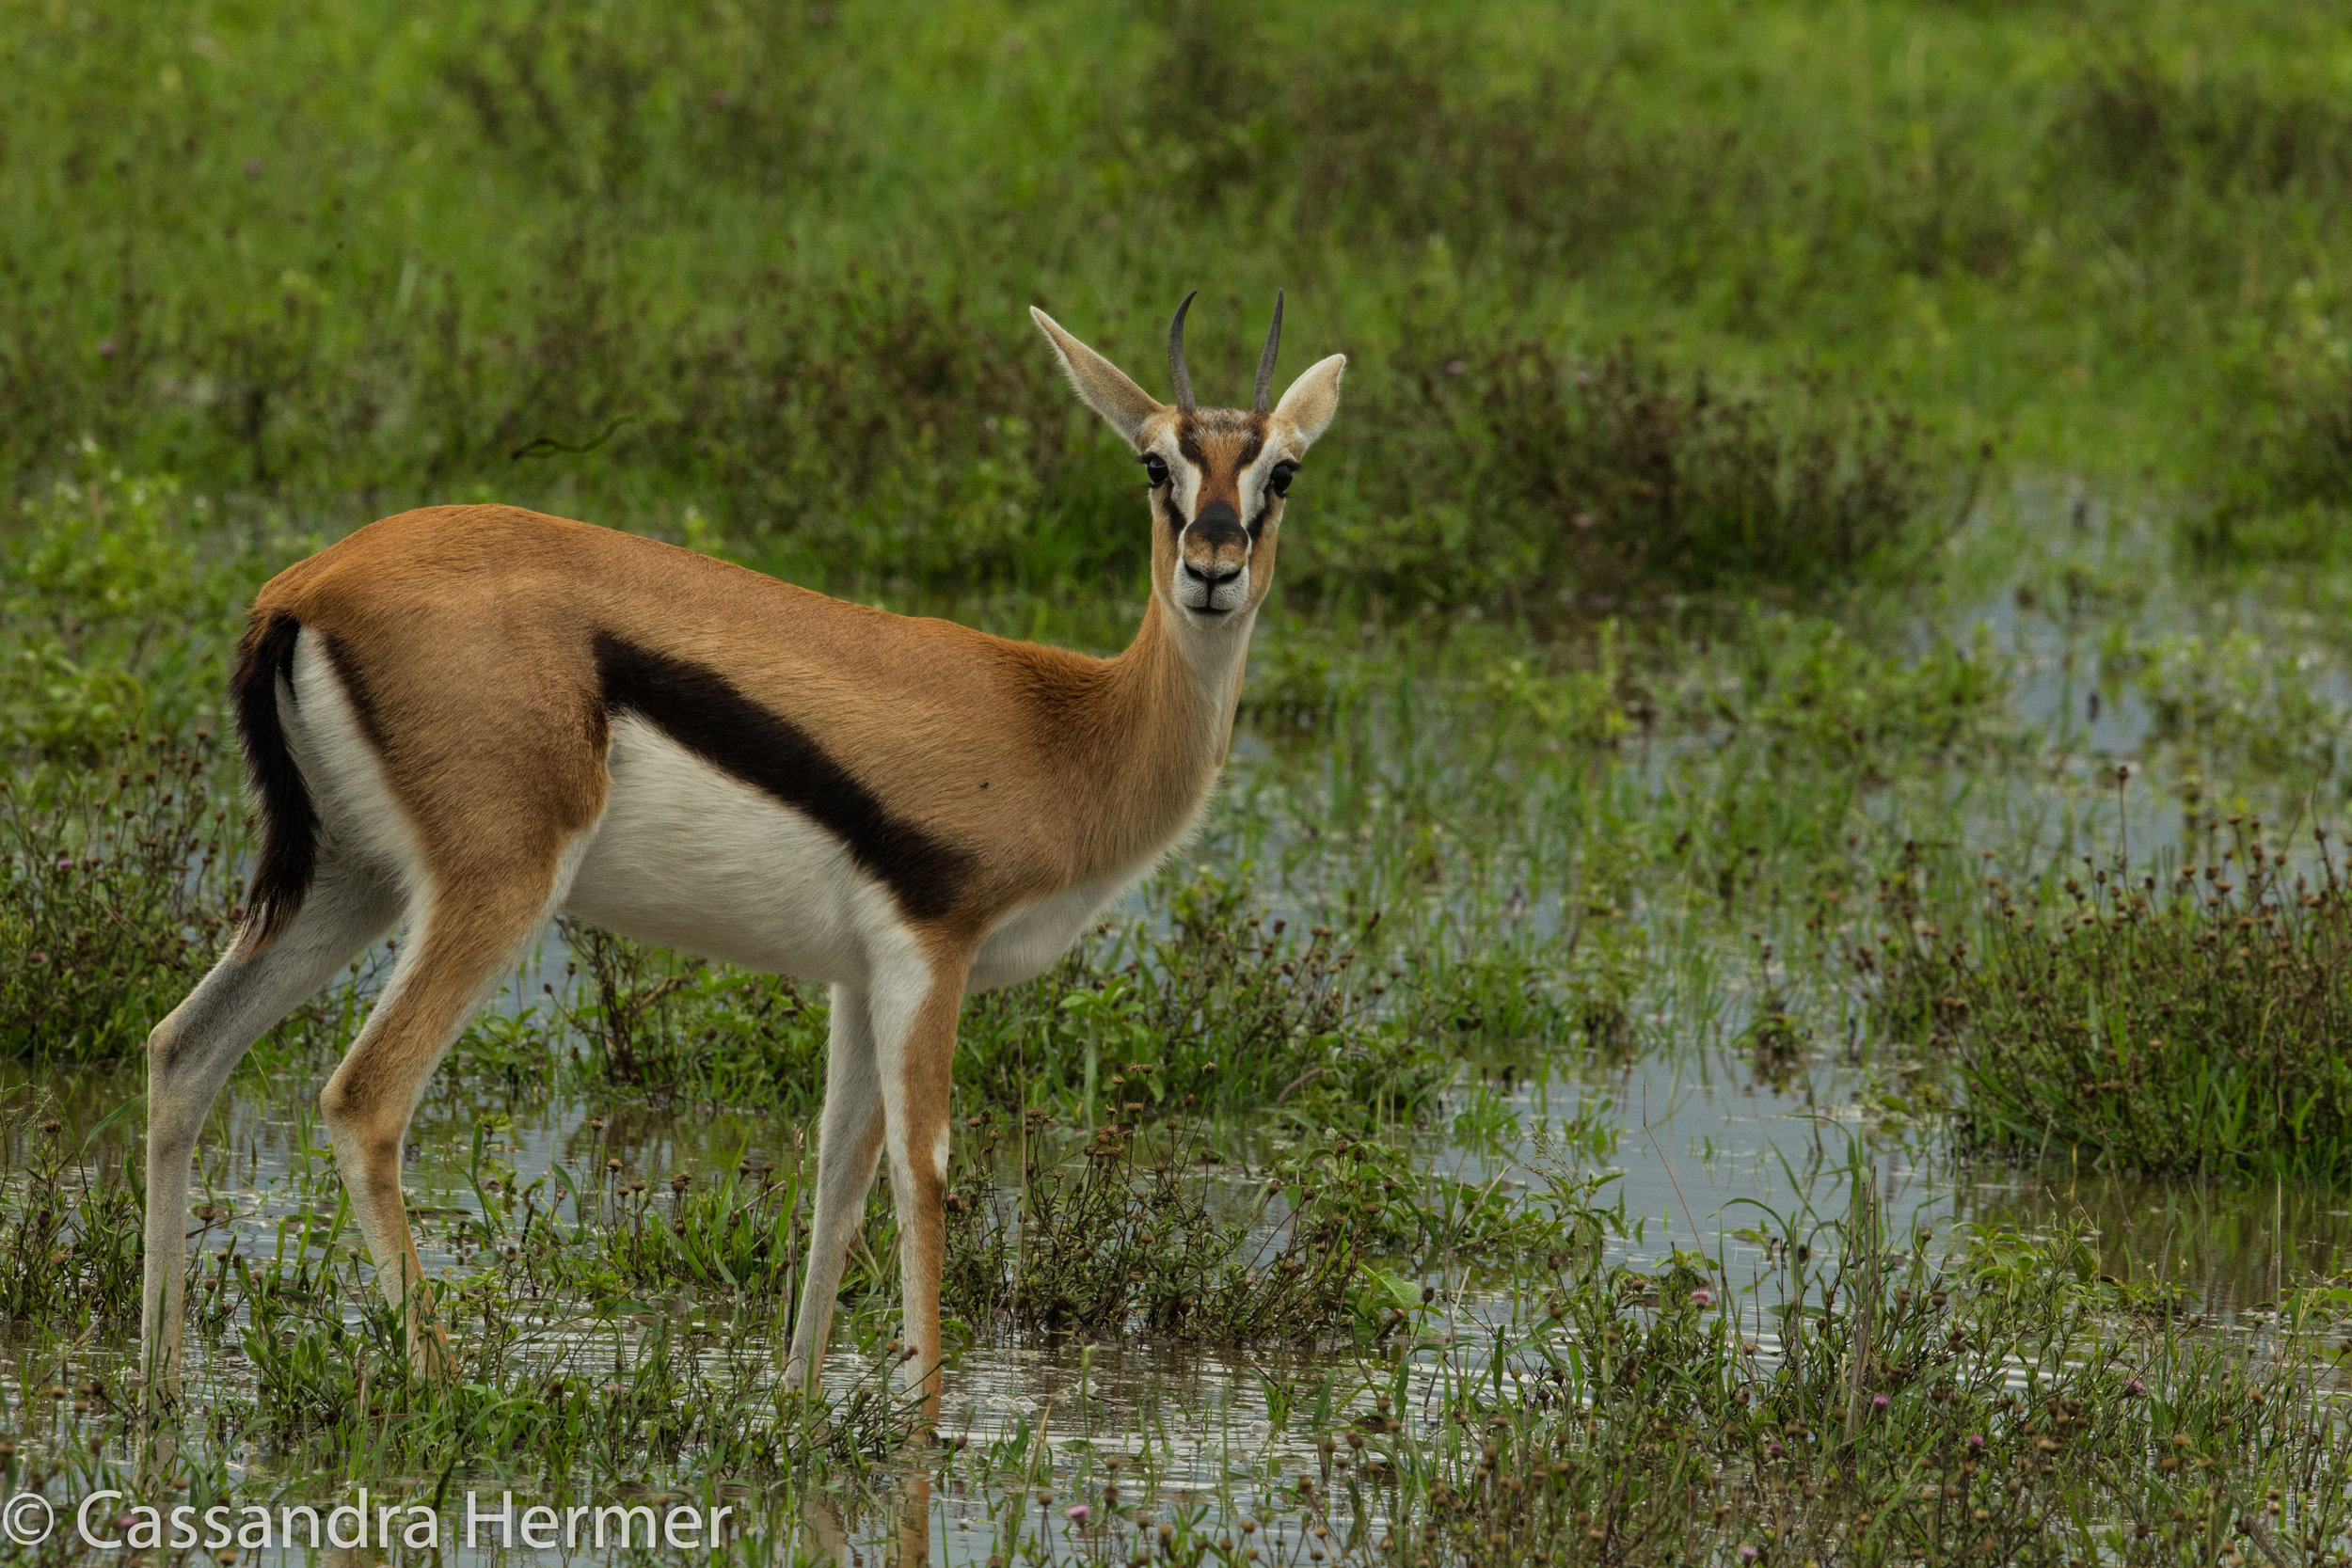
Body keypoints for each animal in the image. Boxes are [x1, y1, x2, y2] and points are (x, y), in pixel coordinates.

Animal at [138, 293, 1344, 1419]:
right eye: (1155, 462)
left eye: (1280, 471)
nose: (1213, 566)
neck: (1067, 728)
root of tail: (305, 588)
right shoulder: (931, 954)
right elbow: (923, 1173)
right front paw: (923, 1426)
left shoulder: (858, 977)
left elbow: (837, 1174)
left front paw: (799, 1407)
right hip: (494, 887)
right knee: (364, 1097)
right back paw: (443, 1387)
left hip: (356, 881)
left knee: (182, 1050)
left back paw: (163, 1384)